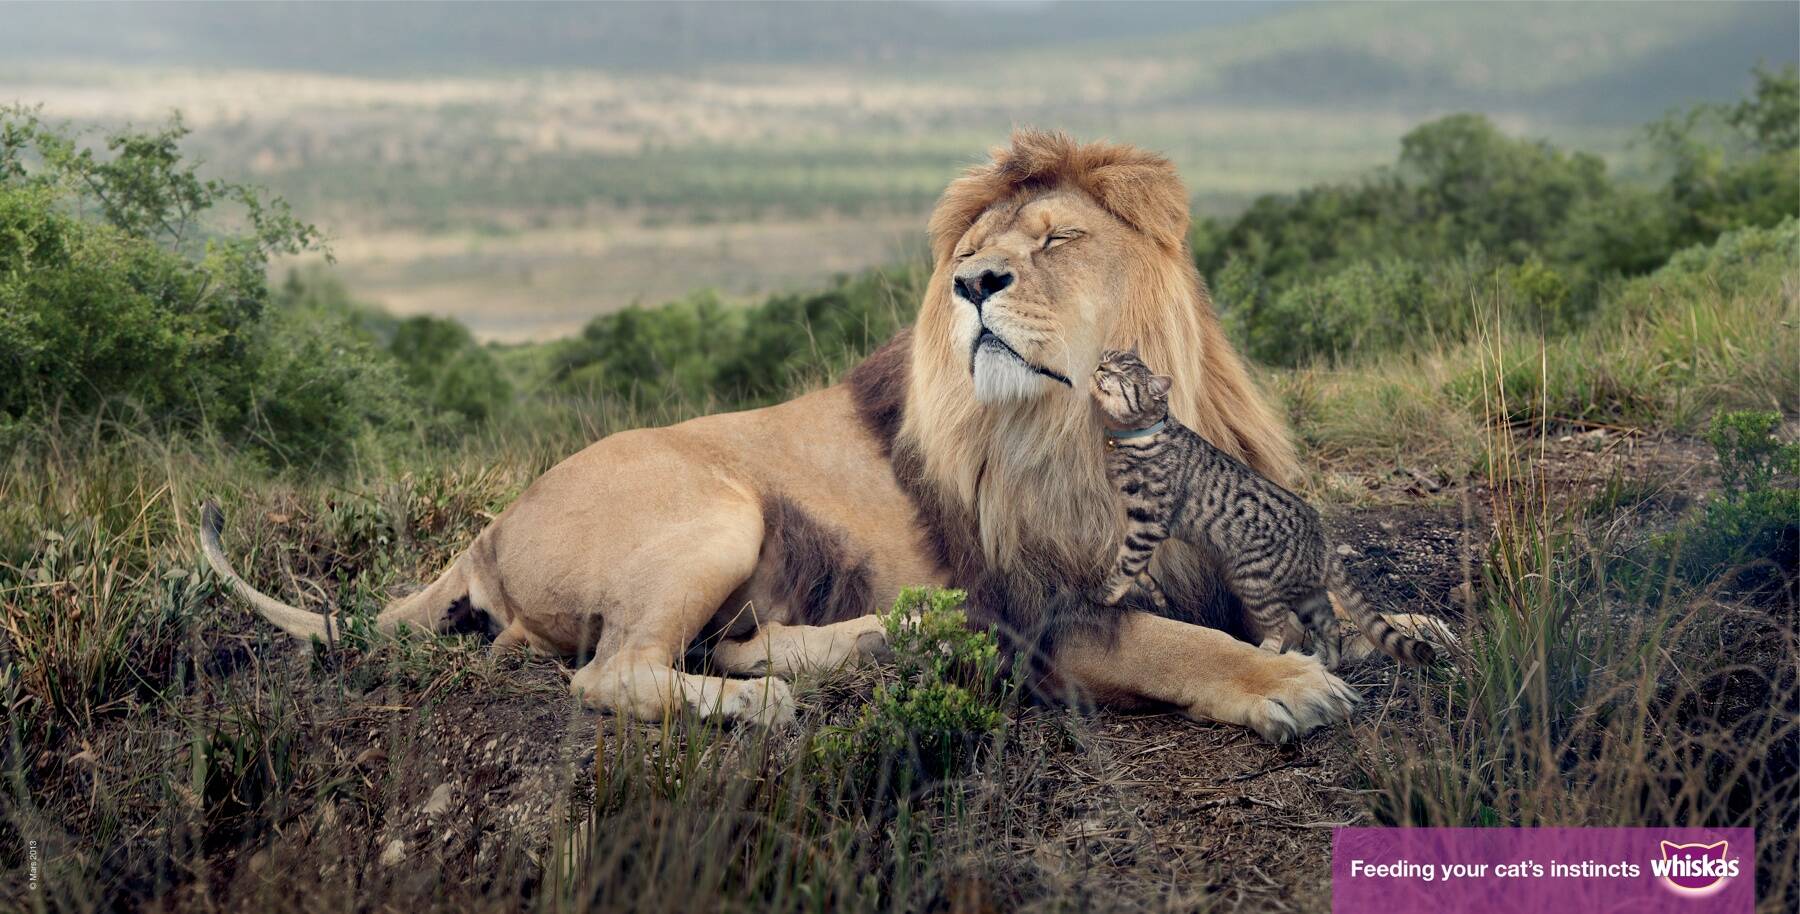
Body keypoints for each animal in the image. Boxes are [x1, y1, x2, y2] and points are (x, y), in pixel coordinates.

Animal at [204, 128, 1375, 741]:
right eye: (980, 251)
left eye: (1056, 240)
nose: (972, 283)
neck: (1083, 424)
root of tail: (487, 531)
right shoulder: (1044, 614)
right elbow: (1177, 641)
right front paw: (1287, 683)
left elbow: (1330, 601)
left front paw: (1387, 632)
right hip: (717, 508)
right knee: (615, 671)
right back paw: (767, 698)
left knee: (719, 640)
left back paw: (880, 639)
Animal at [1087, 349, 1440, 672]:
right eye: (1107, 356)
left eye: (1120, 373)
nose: (1100, 367)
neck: (1140, 436)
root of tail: (1321, 537)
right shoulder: (1137, 522)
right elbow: (1137, 567)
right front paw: (1153, 591)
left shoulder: (1149, 522)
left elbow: (1125, 564)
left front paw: (1104, 595)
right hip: (1309, 597)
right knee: (1330, 625)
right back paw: (1327, 664)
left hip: (1254, 583)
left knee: (1279, 624)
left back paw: (1269, 655)